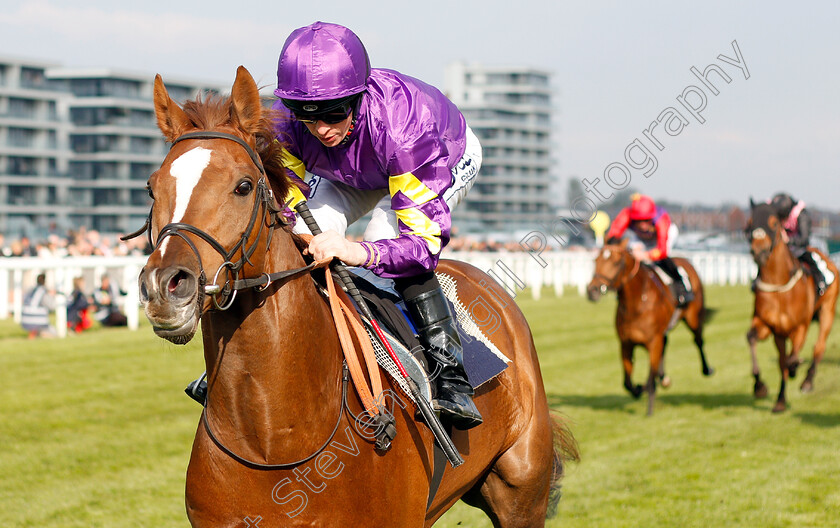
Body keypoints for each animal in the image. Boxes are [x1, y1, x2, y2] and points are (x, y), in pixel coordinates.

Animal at [136, 67, 576, 528]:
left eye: (243, 186)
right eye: (151, 188)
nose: (166, 285)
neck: (273, 437)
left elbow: (419, 239)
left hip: (521, 496)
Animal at [584, 239, 716, 416]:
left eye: (616, 262)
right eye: (596, 260)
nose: (592, 291)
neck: (637, 303)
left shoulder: (653, 342)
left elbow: (650, 378)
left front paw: (649, 408)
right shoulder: (626, 343)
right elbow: (628, 383)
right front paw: (640, 388)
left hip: (693, 318)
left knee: (698, 341)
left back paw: (706, 369)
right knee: (666, 346)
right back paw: (663, 379)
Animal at [744, 202, 836, 412]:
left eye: (774, 223)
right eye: (750, 223)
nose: (759, 251)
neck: (779, 287)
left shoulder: (800, 326)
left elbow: (792, 358)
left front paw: (796, 368)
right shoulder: (768, 325)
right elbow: (752, 338)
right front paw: (761, 387)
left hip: (827, 311)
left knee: (818, 346)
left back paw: (807, 381)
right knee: (782, 360)